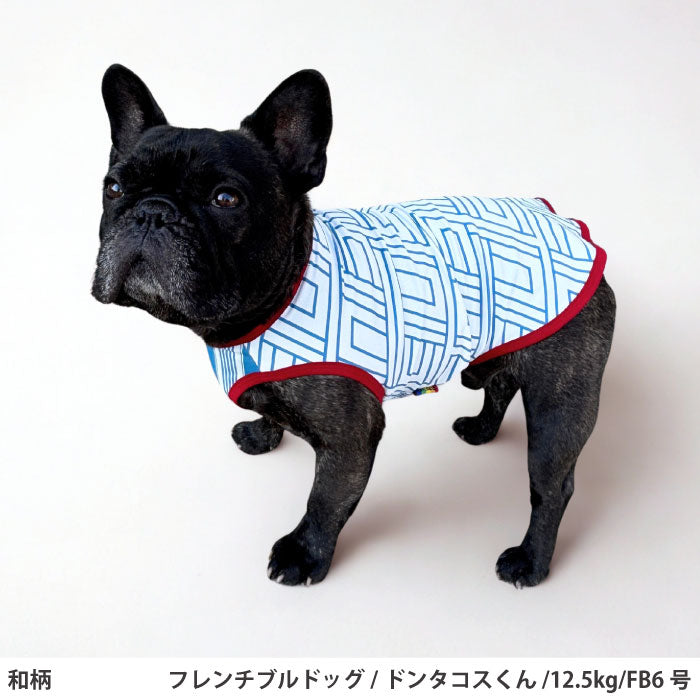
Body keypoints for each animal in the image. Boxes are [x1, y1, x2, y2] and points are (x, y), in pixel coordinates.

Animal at [92, 65, 616, 588]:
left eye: (226, 198)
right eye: (113, 189)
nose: (151, 212)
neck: (274, 301)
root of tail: (567, 223)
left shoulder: (351, 436)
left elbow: (325, 499)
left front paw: (304, 555)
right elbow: (273, 416)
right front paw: (263, 433)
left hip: (560, 403)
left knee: (552, 486)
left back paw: (531, 559)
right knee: (501, 382)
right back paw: (481, 428)